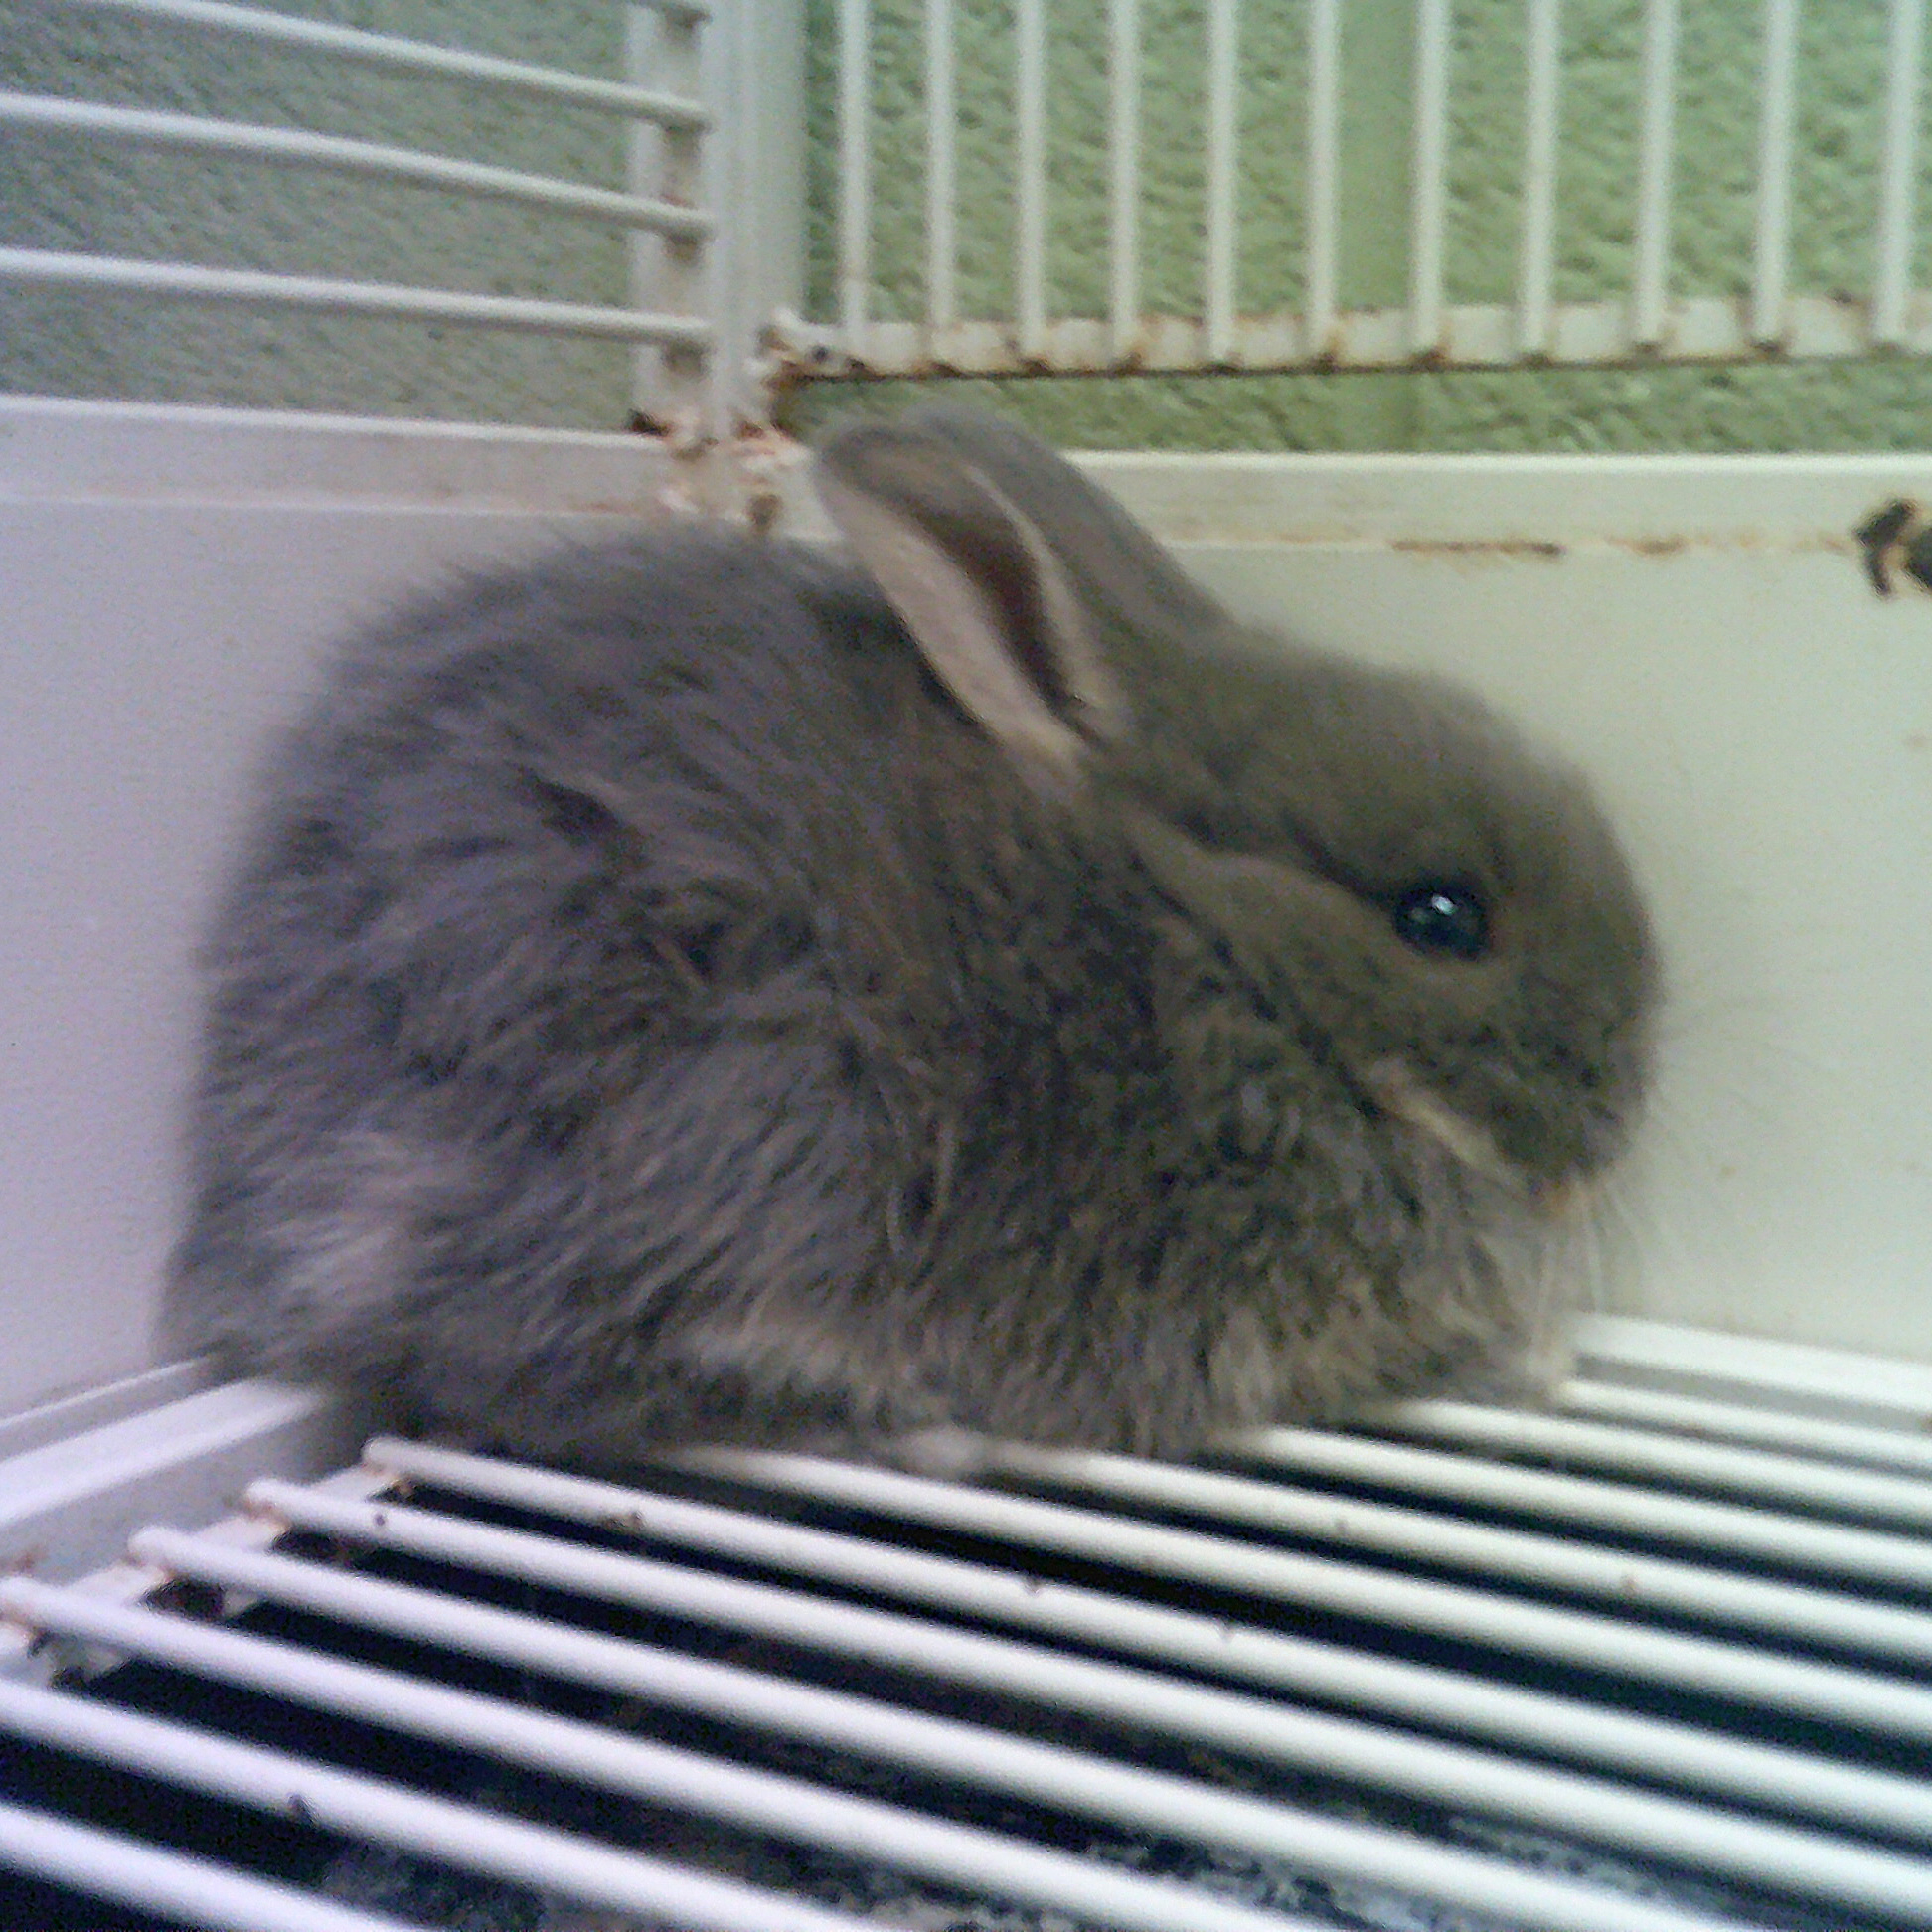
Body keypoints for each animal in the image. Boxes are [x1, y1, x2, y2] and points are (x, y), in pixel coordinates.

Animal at [166, 405, 1656, 1468]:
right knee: (515, 1365)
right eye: (1441, 916)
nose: (1620, 1121)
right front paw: (1536, 1365)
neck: (1211, 949)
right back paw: (915, 1432)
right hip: (766, 1121)